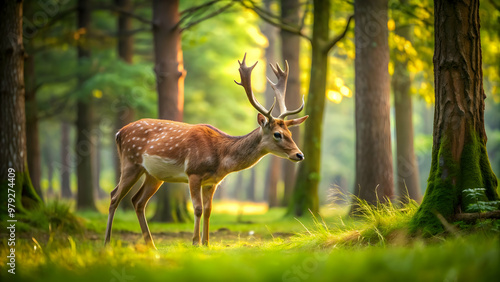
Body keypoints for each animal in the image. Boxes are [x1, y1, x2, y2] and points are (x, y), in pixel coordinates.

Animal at [104, 54, 308, 248]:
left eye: (290, 132)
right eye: (277, 134)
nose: (299, 155)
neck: (221, 158)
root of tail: (119, 133)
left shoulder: (212, 182)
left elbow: (209, 210)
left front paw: (207, 242)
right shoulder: (193, 172)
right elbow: (198, 208)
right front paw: (195, 242)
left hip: (153, 174)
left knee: (137, 201)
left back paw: (151, 245)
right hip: (130, 162)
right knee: (114, 196)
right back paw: (107, 242)